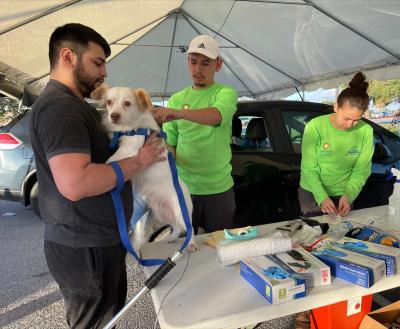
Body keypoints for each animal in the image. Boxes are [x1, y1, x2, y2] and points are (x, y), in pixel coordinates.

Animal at [90, 84, 197, 251]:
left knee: (188, 227)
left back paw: (191, 244)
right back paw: (171, 238)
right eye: (109, 102)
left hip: (180, 210)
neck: (128, 127)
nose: (113, 116)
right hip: (161, 211)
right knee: (176, 227)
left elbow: (111, 161)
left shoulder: (130, 148)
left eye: (127, 103)